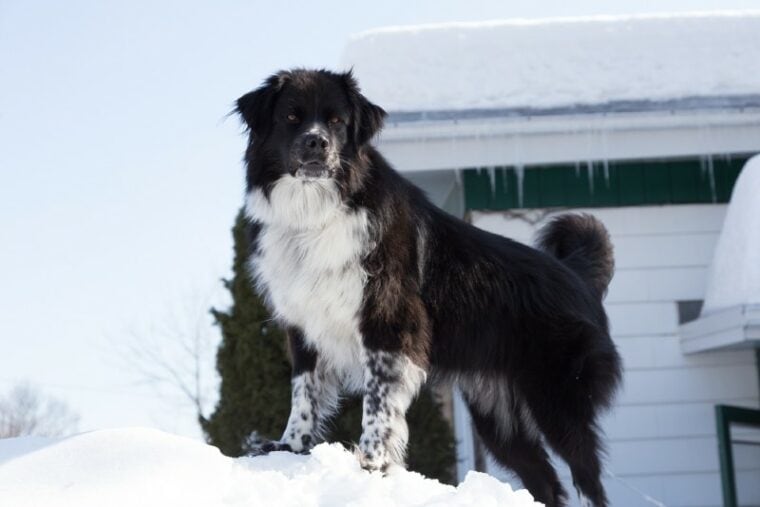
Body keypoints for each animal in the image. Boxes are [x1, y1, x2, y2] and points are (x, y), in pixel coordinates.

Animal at [238, 68, 624, 507]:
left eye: (337, 121)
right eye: (291, 117)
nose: (316, 141)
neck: (316, 211)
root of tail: (577, 277)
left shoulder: (389, 326)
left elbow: (377, 404)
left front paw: (371, 464)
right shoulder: (305, 326)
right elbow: (304, 393)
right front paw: (290, 446)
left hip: (558, 402)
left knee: (588, 478)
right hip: (498, 417)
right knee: (546, 481)